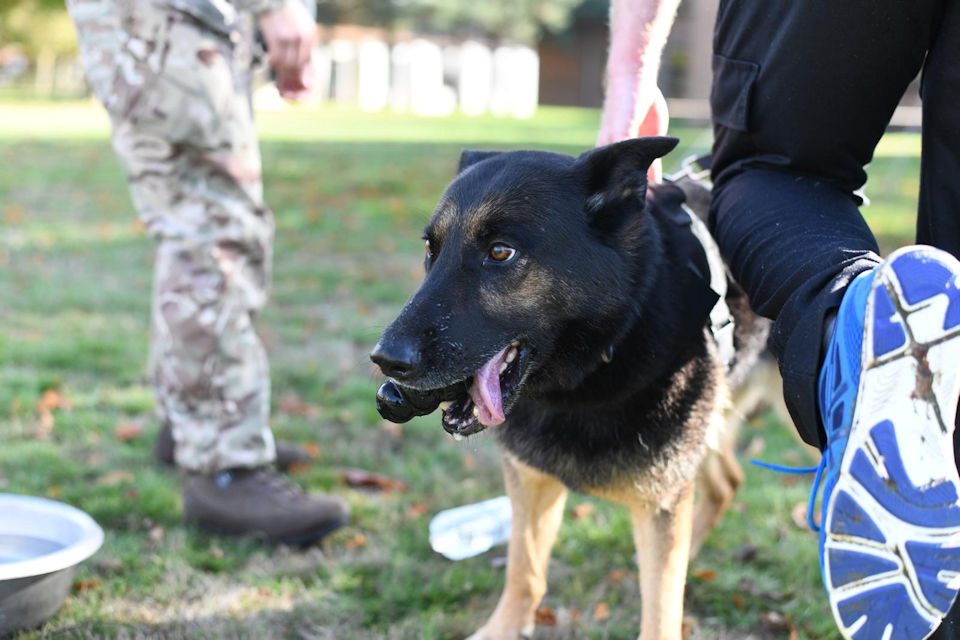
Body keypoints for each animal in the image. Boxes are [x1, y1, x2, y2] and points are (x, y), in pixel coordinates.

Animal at [372, 140, 776, 640]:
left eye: (500, 252)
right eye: (431, 249)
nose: (385, 359)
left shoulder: (661, 498)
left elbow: (661, 608)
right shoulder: (531, 479)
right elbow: (524, 570)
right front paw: (505, 627)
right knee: (727, 484)